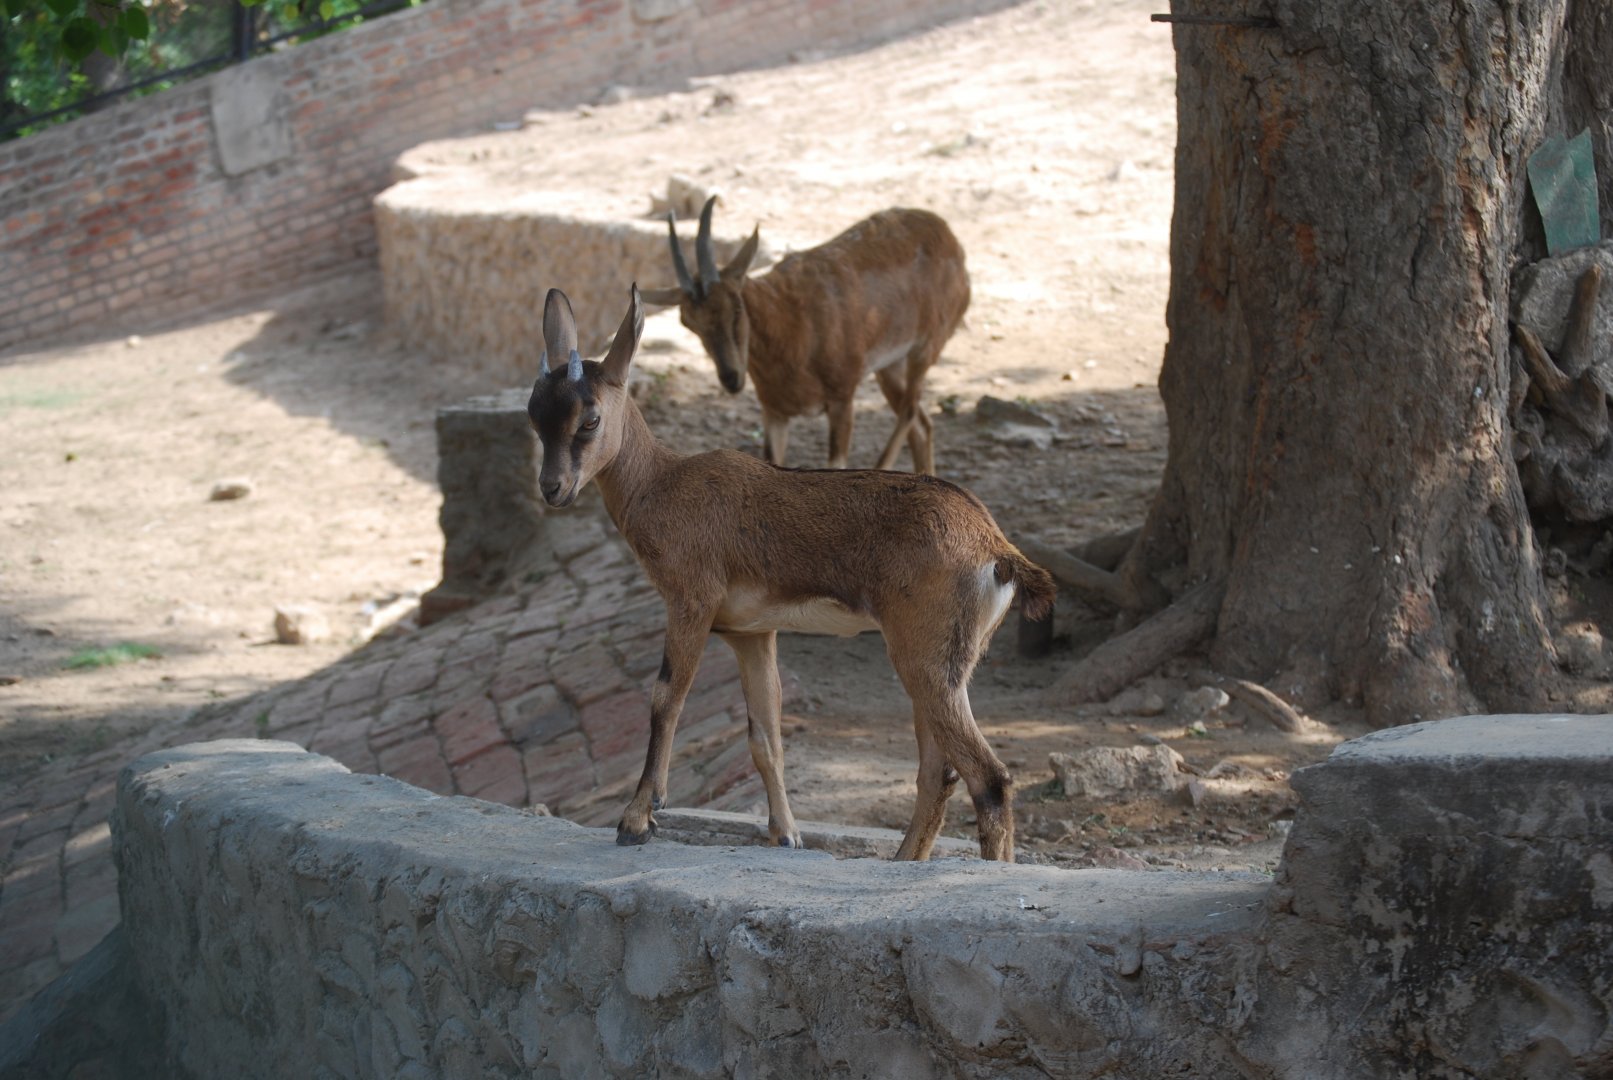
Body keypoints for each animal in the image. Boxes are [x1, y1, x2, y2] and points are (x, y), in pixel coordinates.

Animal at [527, 285, 1054, 862]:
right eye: (534, 415)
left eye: (590, 419)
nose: (552, 488)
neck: (662, 486)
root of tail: (997, 550)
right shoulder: (751, 633)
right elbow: (766, 735)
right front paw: (786, 834)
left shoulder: (691, 601)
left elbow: (666, 699)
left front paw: (637, 820)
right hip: (943, 664)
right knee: (939, 772)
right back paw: (902, 862)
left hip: (925, 657)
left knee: (989, 778)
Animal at [640, 198, 970, 475]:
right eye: (688, 323)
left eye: (736, 305)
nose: (731, 378)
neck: (791, 324)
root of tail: (949, 237)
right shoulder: (774, 413)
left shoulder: (841, 401)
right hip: (890, 367)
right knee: (922, 424)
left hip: (924, 349)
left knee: (910, 412)